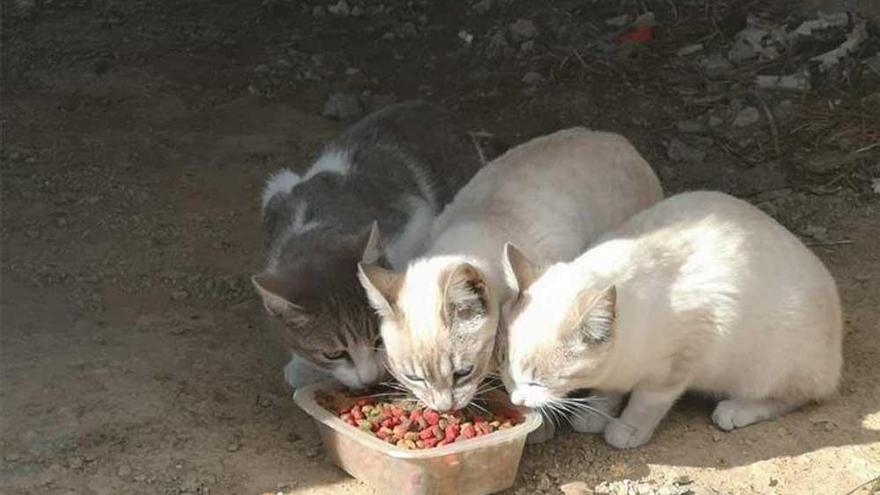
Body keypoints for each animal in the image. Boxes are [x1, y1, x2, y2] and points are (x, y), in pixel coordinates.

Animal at [253, 100, 496, 392]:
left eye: (377, 338)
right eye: (333, 354)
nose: (369, 380)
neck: (317, 225)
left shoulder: (414, 216)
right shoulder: (277, 201)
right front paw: (302, 366)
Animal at [498, 189, 844, 450]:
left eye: (537, 382)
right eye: (507, 370)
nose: (516, 397)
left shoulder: (678, 362)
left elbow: (644, 404)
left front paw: (626, 430)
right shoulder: (617, 369)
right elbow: (608, 392)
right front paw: (597, 414)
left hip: (767, 366)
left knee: (798, 395)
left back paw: (736, 409)